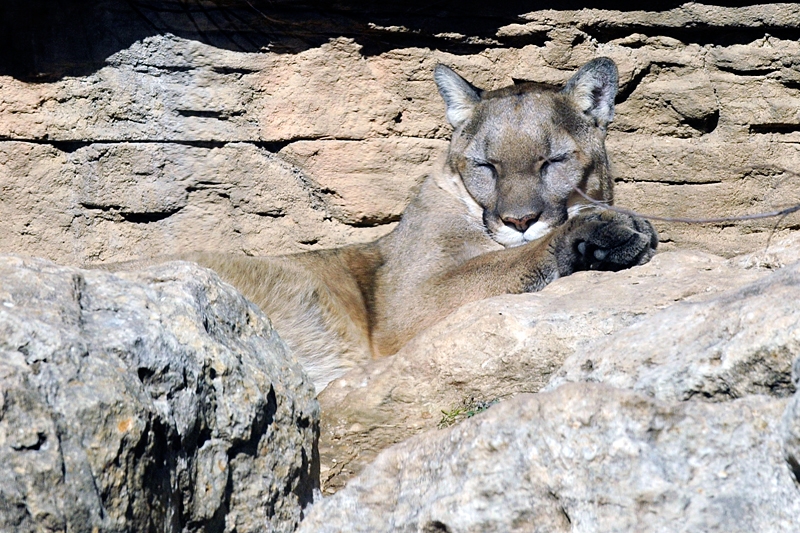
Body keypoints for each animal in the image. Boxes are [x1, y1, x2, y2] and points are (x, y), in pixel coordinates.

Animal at [112, 57, 652, 390]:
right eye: (486, 166)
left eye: (553, 160)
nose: (518, 219)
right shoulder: (407, 308)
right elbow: (508, 262)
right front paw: (604, 230)